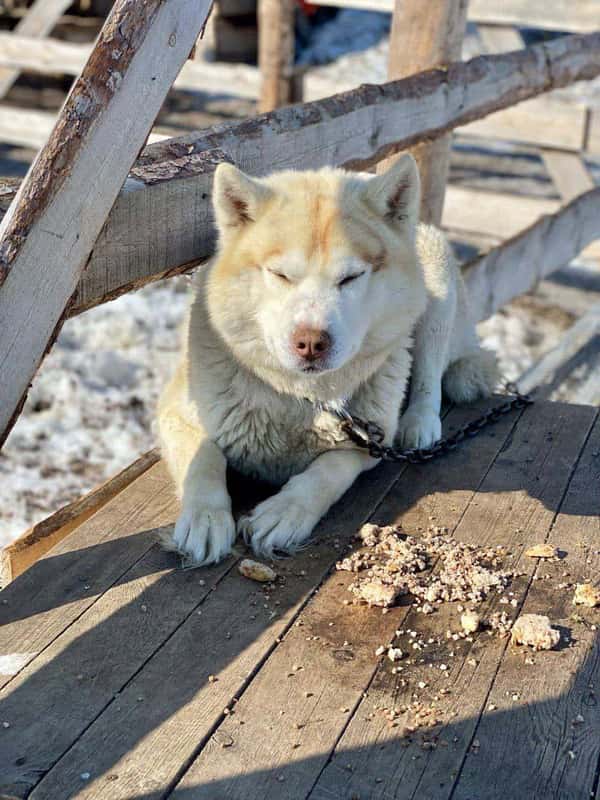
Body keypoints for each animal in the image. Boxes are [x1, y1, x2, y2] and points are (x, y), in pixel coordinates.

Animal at [158, 156, 496, 564]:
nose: (310, 343)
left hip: (437, 284)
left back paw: (420, 422)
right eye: (280, 275)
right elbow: (205, 456)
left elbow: (330, 469)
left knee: (430, 374)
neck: (302, 396)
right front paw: (205, 517)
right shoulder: (175, 413)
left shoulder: (369, 442)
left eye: (351, 277)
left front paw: (286, 511)